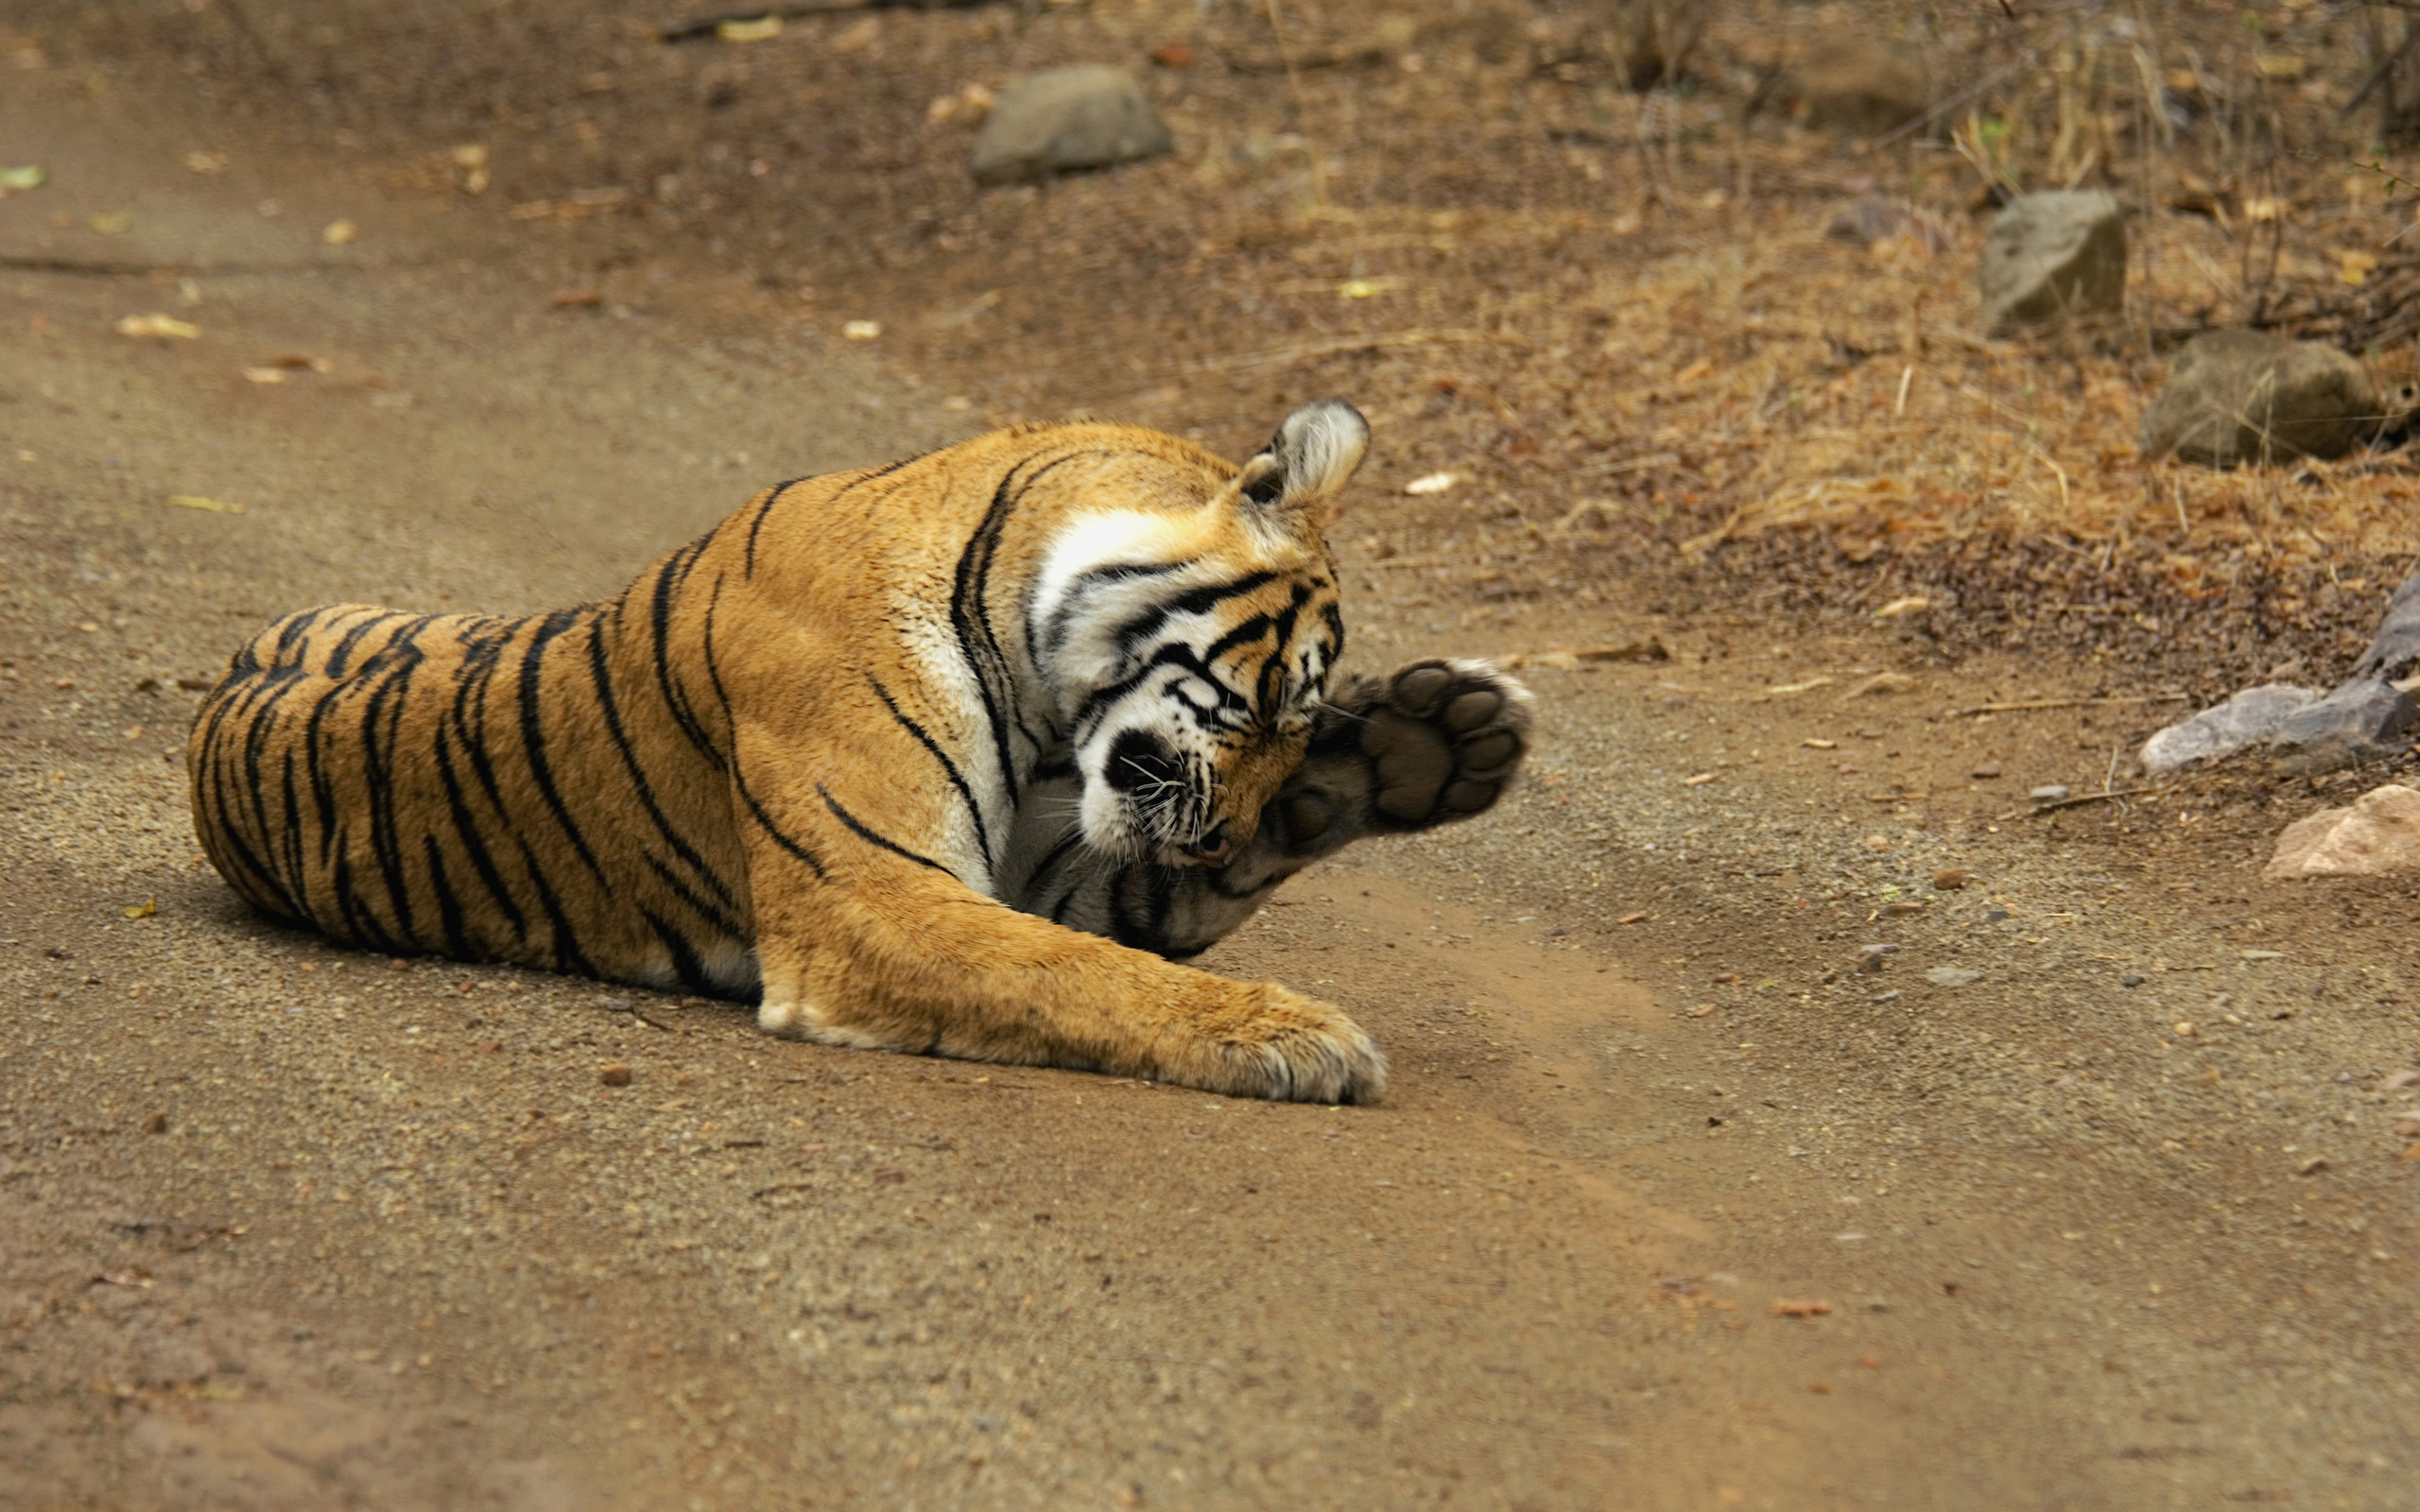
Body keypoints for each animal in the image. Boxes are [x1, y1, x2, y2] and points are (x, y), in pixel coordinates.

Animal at [198, 401, 1539, 1103]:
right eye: (1264, 707)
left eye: (1301, 726)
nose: (1216, 836)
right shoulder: (874, 893)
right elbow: (1087, 977)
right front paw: (1303, 1037)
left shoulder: (1051, 867)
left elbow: (1128, 928)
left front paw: (1439, 743)